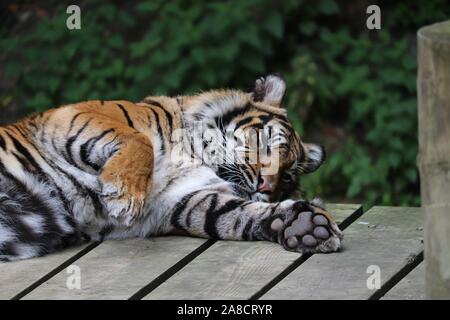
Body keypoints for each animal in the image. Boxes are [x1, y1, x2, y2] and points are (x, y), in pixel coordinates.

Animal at [0, 74, 342, 262]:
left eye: (287, 177)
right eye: (267, 142)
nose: (267, 187)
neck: (195, 155)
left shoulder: (183, 200)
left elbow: (238, 214)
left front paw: (304, 225)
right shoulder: (70, 114)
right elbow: (139, 140)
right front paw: (125, 196)